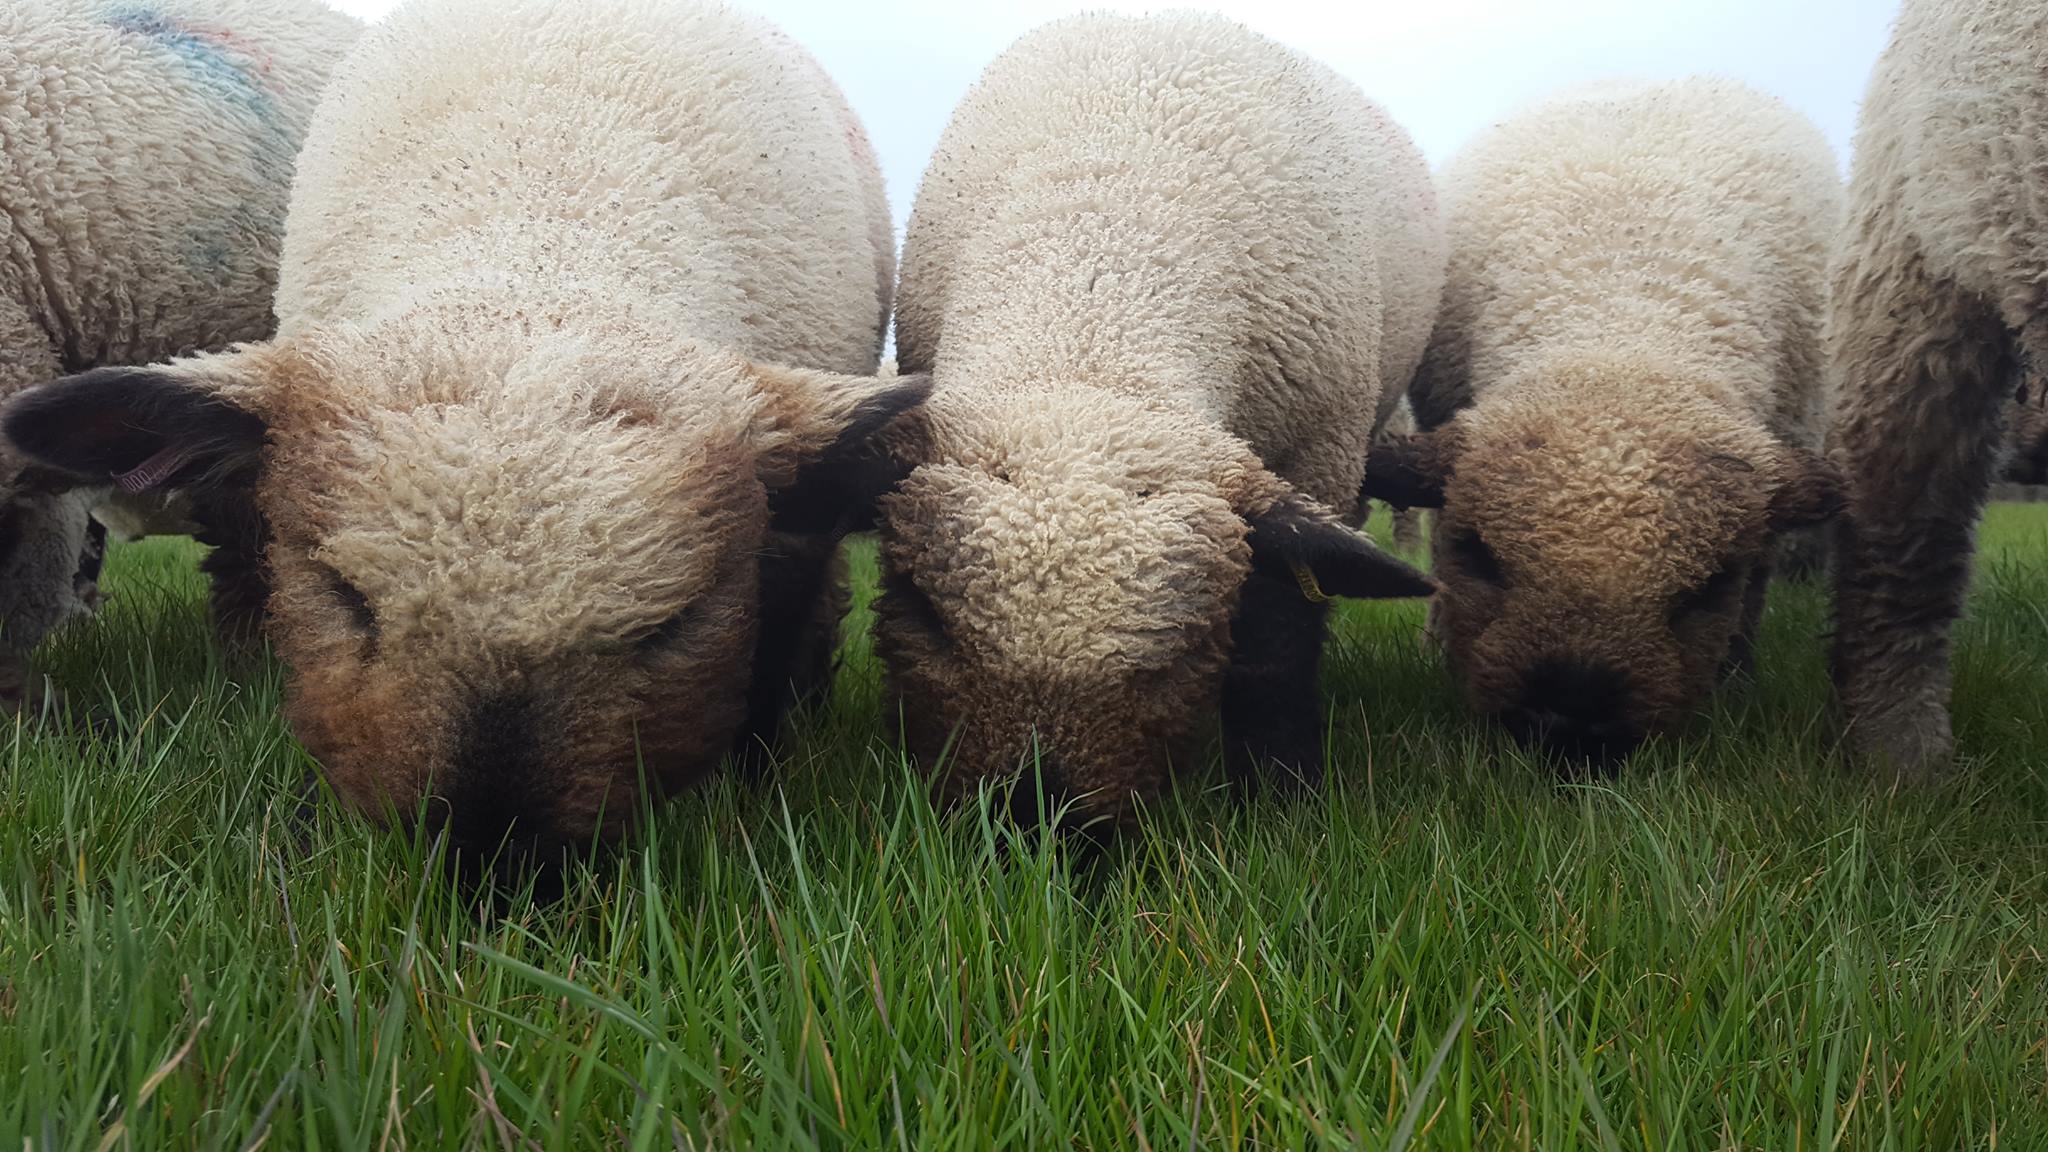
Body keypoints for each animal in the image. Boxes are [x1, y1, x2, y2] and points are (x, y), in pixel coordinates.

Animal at [874, 13, 1441, 829]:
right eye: (924, 615)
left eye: (1181, 652)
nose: (1035, 830)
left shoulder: (1315, 454)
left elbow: (1279, 641)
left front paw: (1281, 795)